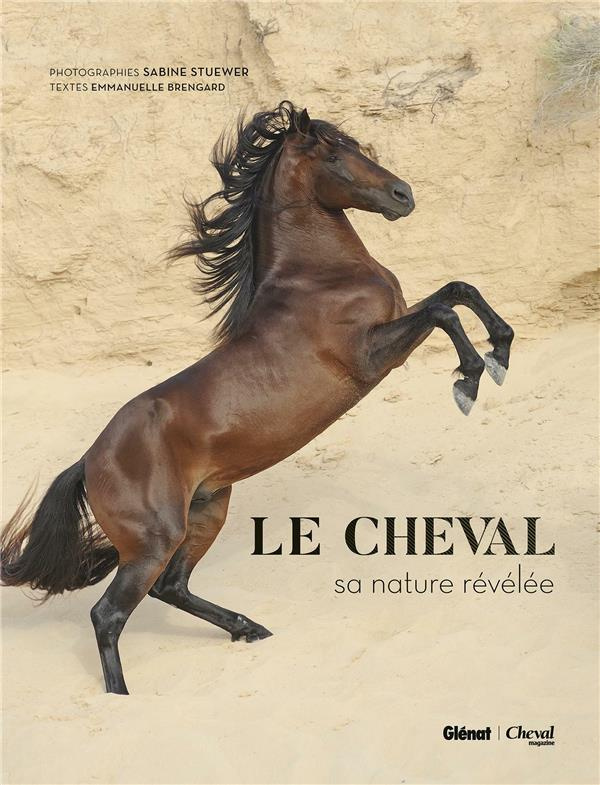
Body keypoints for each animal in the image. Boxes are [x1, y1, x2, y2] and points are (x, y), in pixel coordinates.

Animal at [1, 101, 514, 694]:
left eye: (358, 147)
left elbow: (458, 290)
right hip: (155, 540)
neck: (315, 277)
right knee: (108, 614)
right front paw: (470, 379)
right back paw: (124, 696)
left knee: (171, 587)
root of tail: (88, 460)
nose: (402, 195)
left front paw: (501, 350)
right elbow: (444, 310)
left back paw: (249, 629)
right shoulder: (372, 358)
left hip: (206, 513)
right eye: (333, 155)